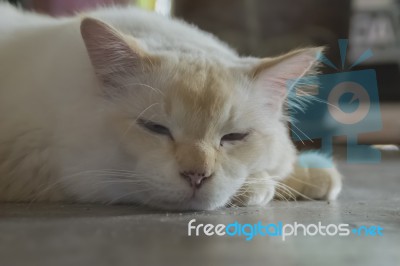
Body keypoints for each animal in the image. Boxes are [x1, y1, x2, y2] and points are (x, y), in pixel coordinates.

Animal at [0, 2, 340, 210]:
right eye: (156, 128)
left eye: (234, 137)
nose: (196, 176)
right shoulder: (55, 168)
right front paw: (260, 188)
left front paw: (314, 176)